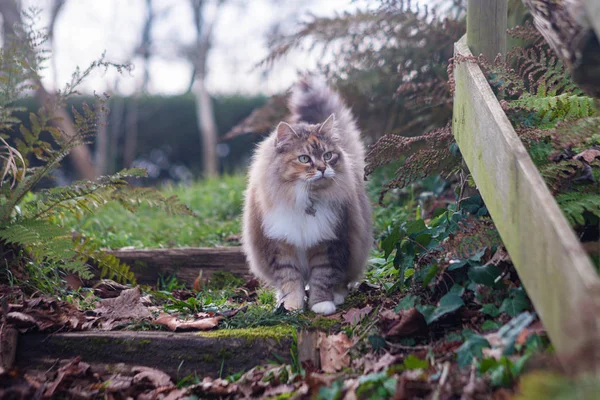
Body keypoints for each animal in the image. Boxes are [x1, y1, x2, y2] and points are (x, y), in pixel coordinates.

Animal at [239, 77, 370, 316]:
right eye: (304, 159)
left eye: (327, 156)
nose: (322, 169)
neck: (302, 198)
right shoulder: (281, 246)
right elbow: (291, 281)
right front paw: (291, 306)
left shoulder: (328, 243)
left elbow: (322, 278)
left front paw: (321, 304)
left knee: (341, 280)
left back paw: (337, 296)